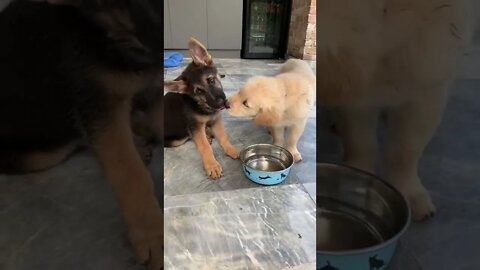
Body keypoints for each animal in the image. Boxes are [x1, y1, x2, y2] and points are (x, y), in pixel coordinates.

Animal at [165, 37, 240, 177]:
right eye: (198, 91)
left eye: (210, 80)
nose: (222, 104)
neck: (201, 105)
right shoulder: (195, 126)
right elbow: (204, 146)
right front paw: (212, 165)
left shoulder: (216, 120)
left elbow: (223, 137)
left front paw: (231, 149)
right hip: (176, 140)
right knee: (190, 137)